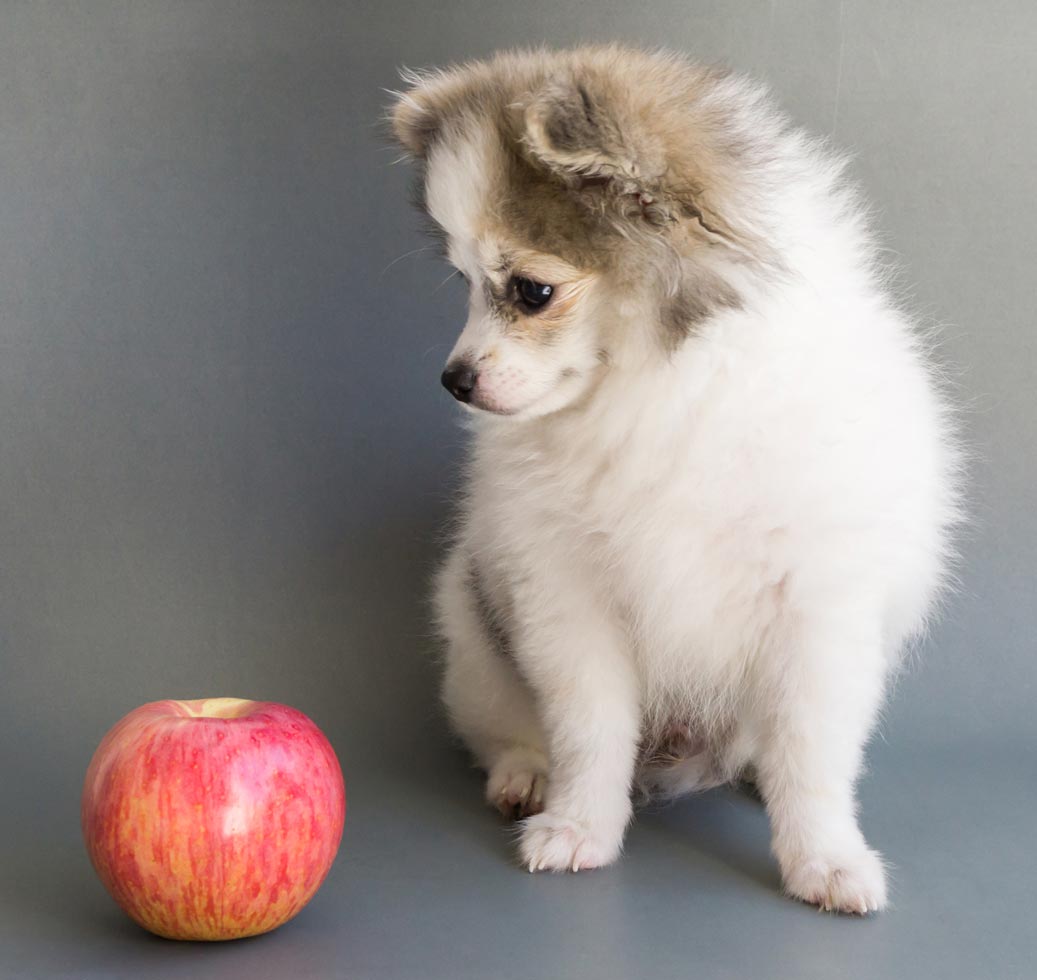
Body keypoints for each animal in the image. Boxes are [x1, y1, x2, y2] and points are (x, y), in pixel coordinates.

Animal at [389, 44, 962, 916]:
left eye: (530, 292)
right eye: (462, 285)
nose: (453, 380)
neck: (657, 393)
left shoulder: (817, 607)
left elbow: (811, 751)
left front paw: (824, 858)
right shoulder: (569, 598)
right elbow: (588, 729)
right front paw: (579, 828)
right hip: (474, 636)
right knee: (502, 727)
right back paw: (524, 775)